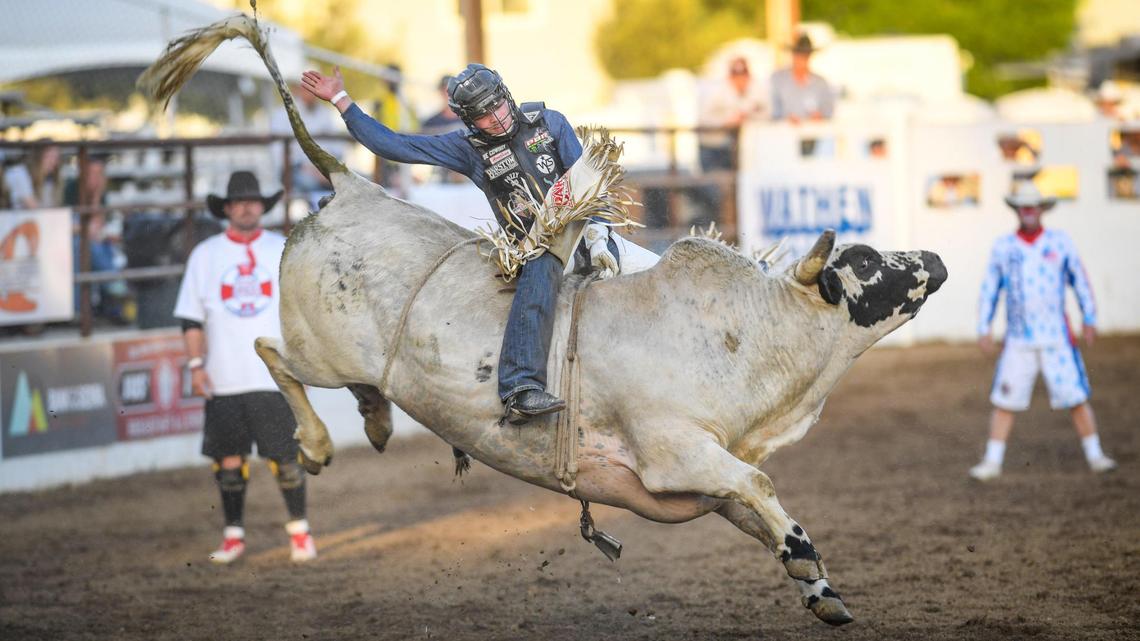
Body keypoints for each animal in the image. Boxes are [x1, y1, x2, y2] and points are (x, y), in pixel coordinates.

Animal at [140, 14, 947, 627]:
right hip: (321, 349)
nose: (935, 258)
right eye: (864, 261)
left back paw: (374, 419)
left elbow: (761, 508)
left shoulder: (704, 479)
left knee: (337, 378)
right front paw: (812, 569)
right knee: (269, 350)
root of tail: (347, 187)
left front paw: (819, 588)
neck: (741, 335)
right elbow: (761, 487)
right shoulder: (676, 452)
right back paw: (317, 442)